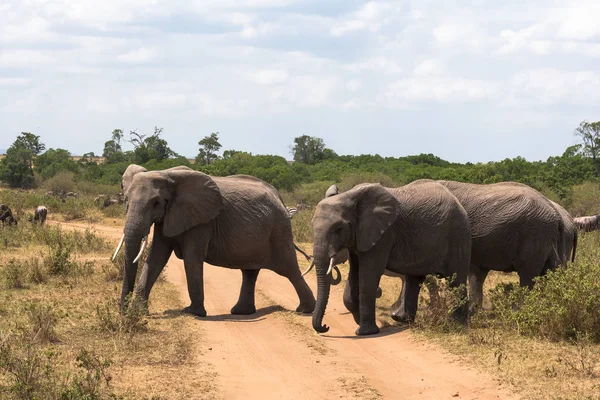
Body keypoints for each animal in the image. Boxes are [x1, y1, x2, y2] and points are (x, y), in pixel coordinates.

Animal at [114, 167, 316, 318]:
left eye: (156, 202)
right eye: (125, 200)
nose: (122, 311)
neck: (167, 175)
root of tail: (279, 197)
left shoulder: (202, 221)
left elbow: (191, 259)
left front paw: (192, 312)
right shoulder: (169, 216)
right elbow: (156, 257)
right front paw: (138, 312)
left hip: (279, 230)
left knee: (289, 269)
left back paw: (305, 310)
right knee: (250, 272)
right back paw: (241, 312)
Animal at [312, 180, 472, 334]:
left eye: (338, 229)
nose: (325, 326)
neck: (350, 196)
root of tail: (458, 203)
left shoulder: (383, 235)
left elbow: (369, 273)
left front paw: (365, 332)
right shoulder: (358, 237)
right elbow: (354, 272)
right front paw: (358, 319)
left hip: (457, 236)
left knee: (456, 279)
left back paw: (458, 323)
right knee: (414, 279)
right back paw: (402, 320)